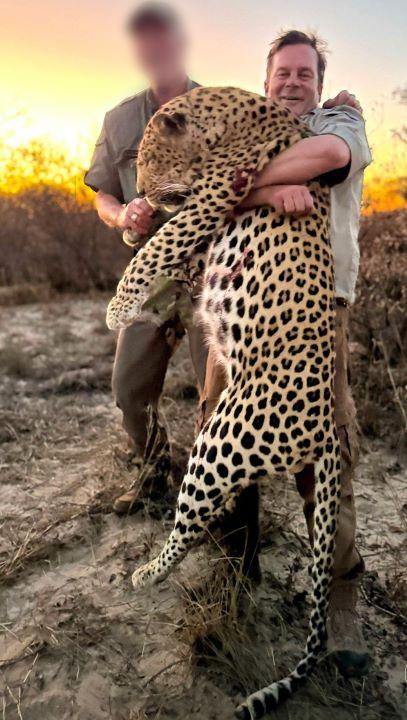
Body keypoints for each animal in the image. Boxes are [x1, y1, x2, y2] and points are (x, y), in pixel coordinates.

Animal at [106, 86, 341, 719]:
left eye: (147, 161)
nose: (139, 193)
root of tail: (328, 426)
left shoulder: (213, 198)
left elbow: (157, 248)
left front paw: (117, 307)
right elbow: (154, 244)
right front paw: (133, 235)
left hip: (221, 439)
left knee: (191, 519)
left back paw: (146, 573)